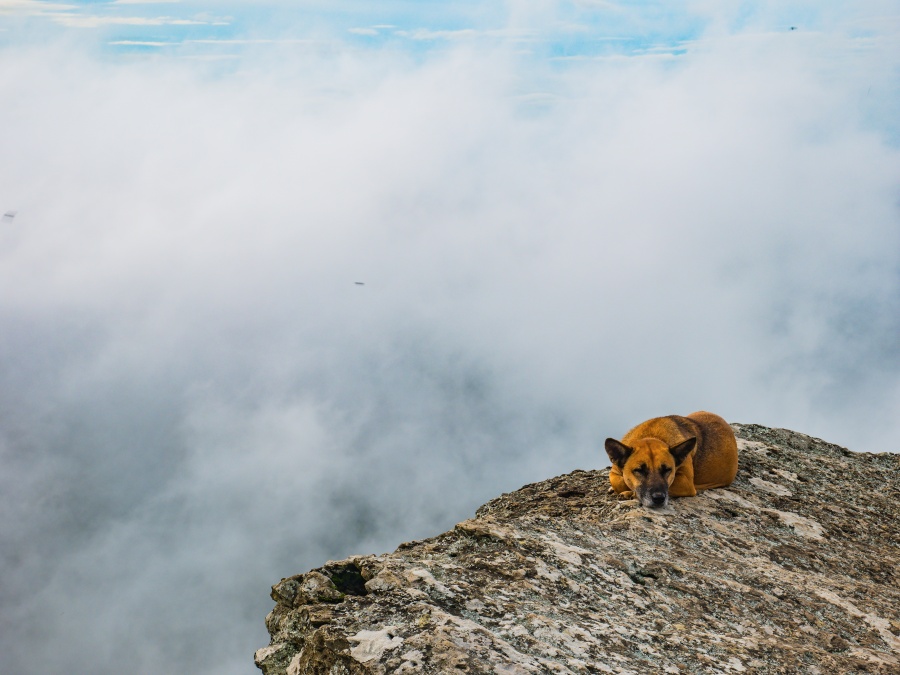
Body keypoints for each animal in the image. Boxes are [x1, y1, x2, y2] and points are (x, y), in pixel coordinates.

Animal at [604, 412, 740, 508]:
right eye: (639, 470)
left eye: (667, 470)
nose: (659, 499)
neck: (652, 435)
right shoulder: (614, 472)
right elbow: (619, 482)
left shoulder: (685, 482)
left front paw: (629, 493)